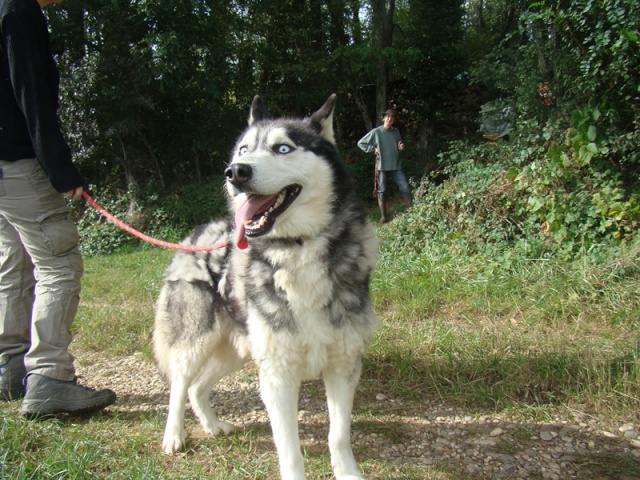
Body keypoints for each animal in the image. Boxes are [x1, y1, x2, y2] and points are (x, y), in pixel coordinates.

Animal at [153, 94, 378, 480]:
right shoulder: (277, 374)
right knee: (180, 385)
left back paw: (213, 425)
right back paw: (174, 436)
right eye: (243, 149)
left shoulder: (343, 364)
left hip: (236, 350)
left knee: (198, 387)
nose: (235, 172)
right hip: (196, 340)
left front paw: (349, 474)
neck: (296, 248)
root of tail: (195, 234)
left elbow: (338, 437)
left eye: (282, 148)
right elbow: (290, 451)